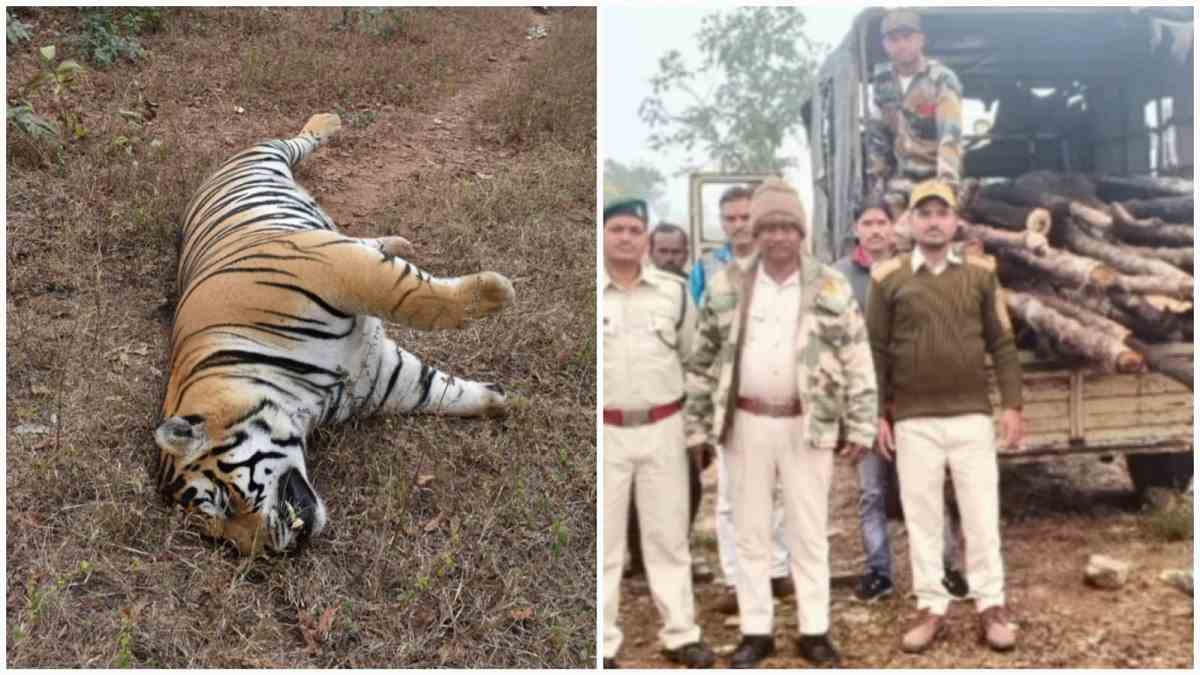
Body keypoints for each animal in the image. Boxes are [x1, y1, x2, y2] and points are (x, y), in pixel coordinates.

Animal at [155, 113, 515, 556]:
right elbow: (441, 389)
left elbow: (412, 296)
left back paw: (329, 120)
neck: (302, 400)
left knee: (299, 140)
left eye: (222, 501)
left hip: (268, 155)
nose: (272, 550)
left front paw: (495, 293)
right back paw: (397, 243)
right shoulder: (380, 378)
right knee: (364, 239)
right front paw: (497, 400)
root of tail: (207, 179)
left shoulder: (332, 266)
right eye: (220, 537)